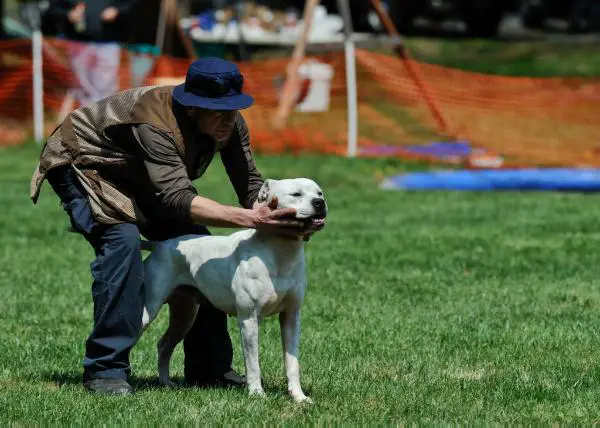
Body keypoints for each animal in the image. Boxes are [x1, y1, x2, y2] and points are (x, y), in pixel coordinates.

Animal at [139, 176, 328, 402]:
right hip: (149, 309)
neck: (281, 251)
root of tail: (160, 245)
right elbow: (253, 362)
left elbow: (292, 362)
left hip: (184, 316)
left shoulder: (291, 317)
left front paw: (299, 397)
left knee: (164, 345)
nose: (320, 203)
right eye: (296, 194)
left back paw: (166, 383)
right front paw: (257, 394)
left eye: (319, 193)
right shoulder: (249, 319)